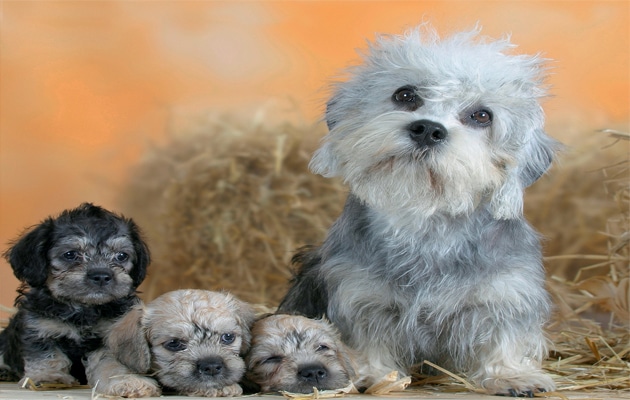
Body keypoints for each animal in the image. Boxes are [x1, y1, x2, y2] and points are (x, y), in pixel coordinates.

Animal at [0, 203, 150, 384]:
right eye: (70, 254)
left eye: (121, 256)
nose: (101, 275)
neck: (83, 308)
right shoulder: (39, 328)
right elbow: (46, 356)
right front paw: (48, 377)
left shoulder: (110, 333)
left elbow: (106, 359)